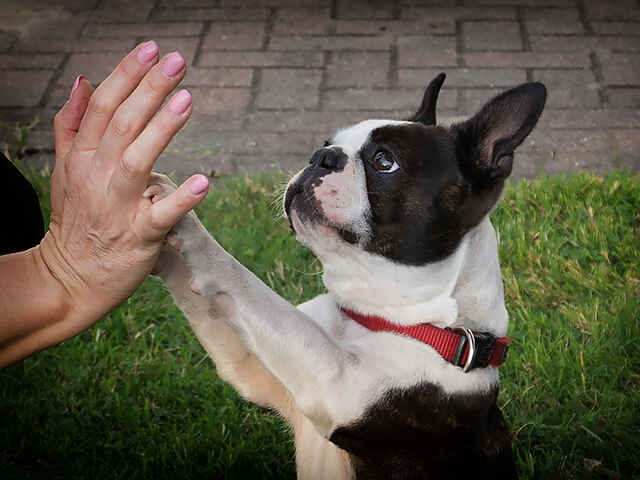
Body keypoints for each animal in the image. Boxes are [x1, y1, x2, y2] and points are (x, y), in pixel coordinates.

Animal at [148, 72, 548, 480]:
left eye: (384, 161)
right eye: (327, 144)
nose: (321, 157)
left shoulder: (335, 382)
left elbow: (246, 284)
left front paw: (190, 232)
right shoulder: (251, 368)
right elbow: (208, 301)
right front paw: (157, 219)